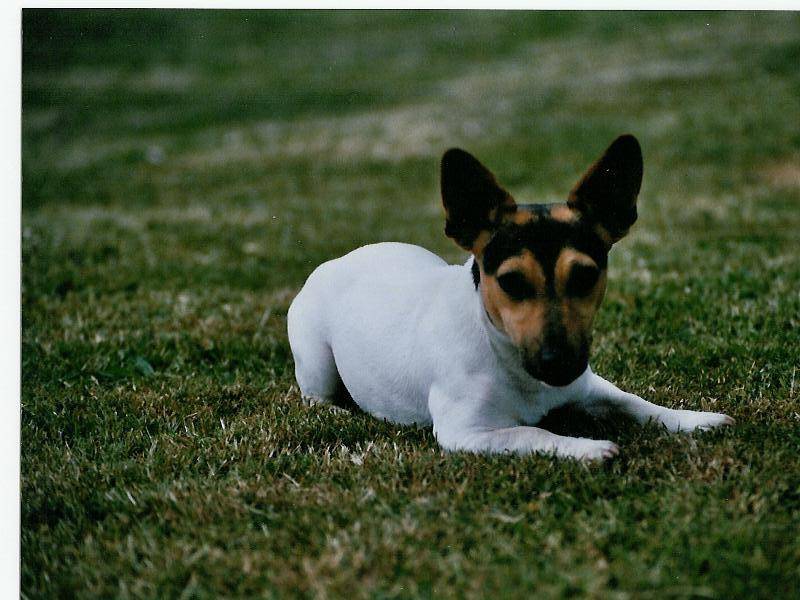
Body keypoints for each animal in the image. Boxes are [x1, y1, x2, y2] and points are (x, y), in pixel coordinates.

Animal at [287, 134, 733, 460]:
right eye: (512, 282)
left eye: (586, 276)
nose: (559, 362)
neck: (502, 352)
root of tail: (339, 259)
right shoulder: (466, 433)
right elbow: (532, 432)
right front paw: (586, 448)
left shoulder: (589, 386)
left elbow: (636, 403)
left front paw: (693, 419)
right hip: (316, 361)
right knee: (313, 395)